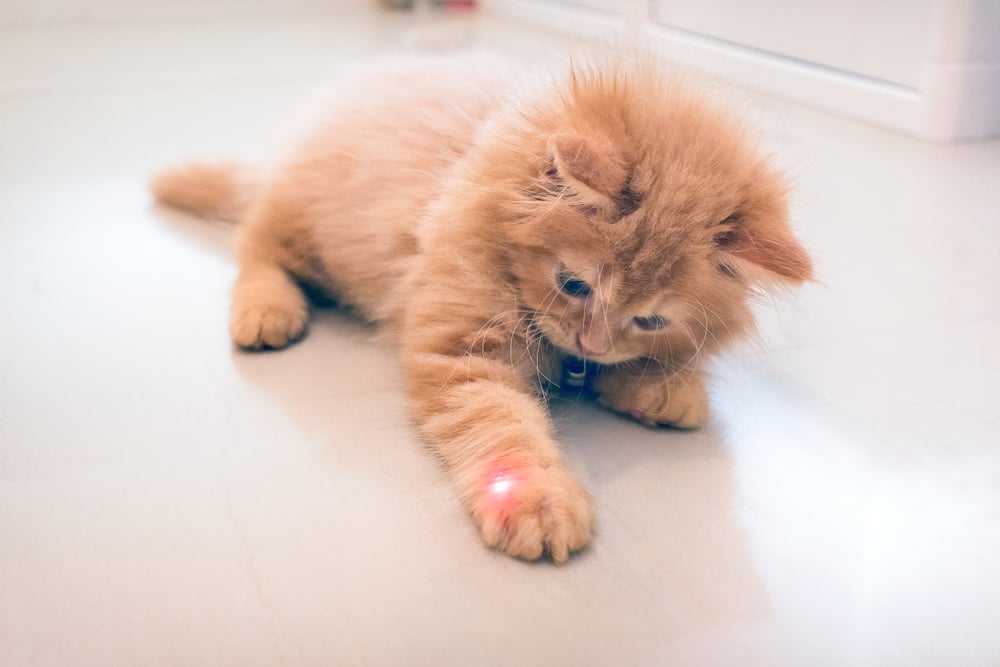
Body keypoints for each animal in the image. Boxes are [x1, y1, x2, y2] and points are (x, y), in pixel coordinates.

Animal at [150, 54, 812, 564]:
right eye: (574, 284)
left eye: (650, 318)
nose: (592, 343)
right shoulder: (462, 349)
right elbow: (501, 425)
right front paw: (538, 501)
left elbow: (649, 367)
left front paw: (664, 386)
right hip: (300, 228)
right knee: (255, 252)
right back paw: (268, 311)